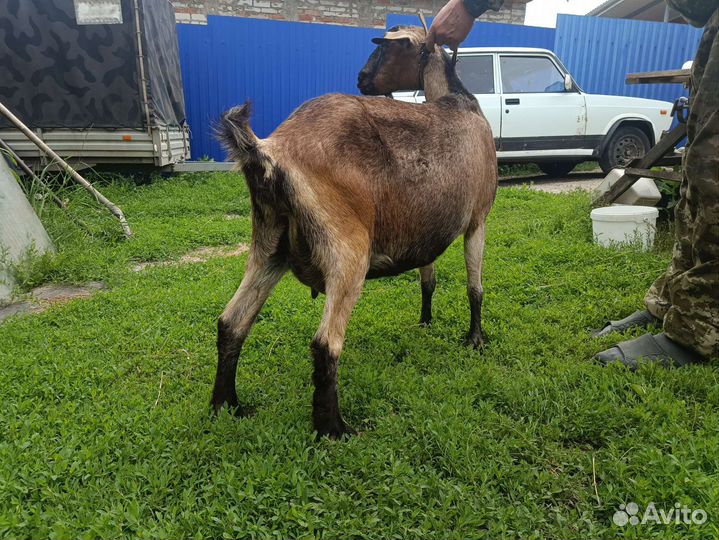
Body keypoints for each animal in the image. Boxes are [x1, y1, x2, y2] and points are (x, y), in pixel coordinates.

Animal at [213, 25, 497, 439]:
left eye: (385, 52)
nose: (362, 79)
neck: (459, 102)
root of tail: (270, 149)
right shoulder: (479, 218)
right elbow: (475, 287)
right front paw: (476, 340)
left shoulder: (427, 233)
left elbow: (428, 279)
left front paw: (426, 322)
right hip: (347, 250)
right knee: (325, 344)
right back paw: (334, 429)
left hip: (268, 247)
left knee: (232, 322)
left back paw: (227, 406)